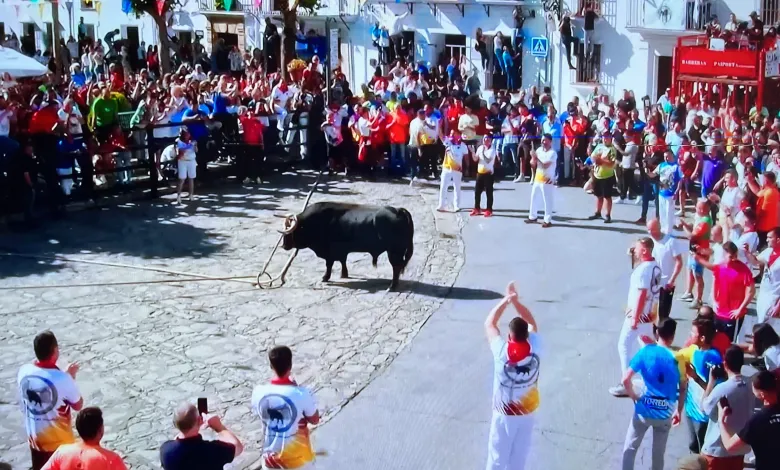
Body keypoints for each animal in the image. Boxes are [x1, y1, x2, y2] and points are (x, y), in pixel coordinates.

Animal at [280, 202, 414, 290]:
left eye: (290, 232)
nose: (284, 246)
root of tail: (399, 210)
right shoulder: (341, 251)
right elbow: (342, 261)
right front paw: (344, 274)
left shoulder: (329, 252)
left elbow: (329, 265)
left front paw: (325, 277)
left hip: (394, 251)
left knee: (396, 267)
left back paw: (392, 286)